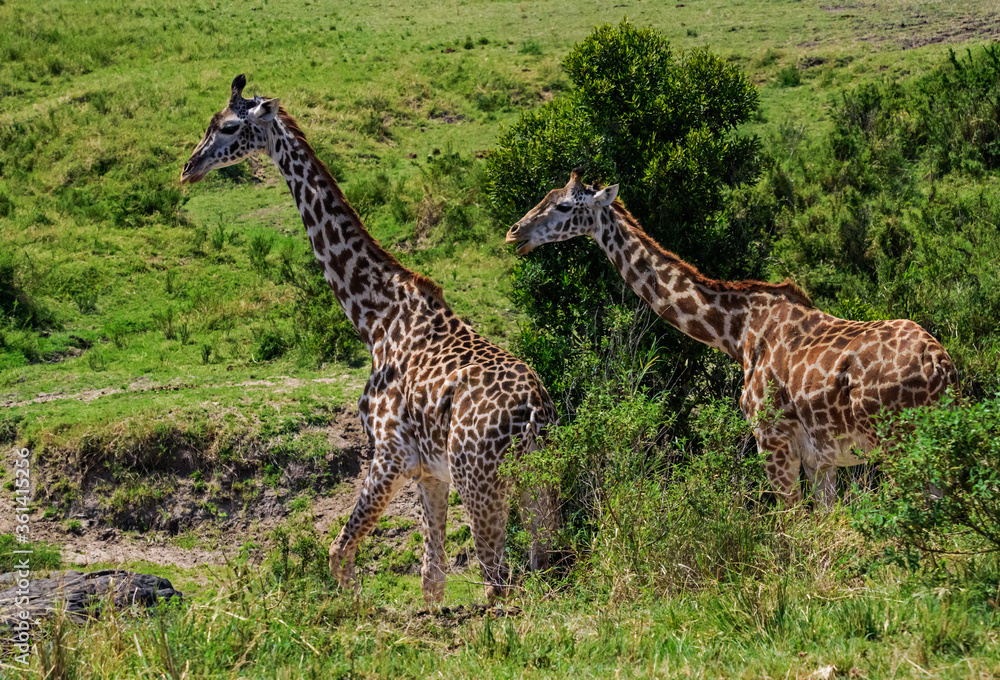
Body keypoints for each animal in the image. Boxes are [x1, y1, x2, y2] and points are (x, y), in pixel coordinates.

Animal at [181, 75, 558, 603]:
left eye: (230, 126)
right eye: (208, 123)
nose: (188, 168)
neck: (374, 318)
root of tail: (534, 417)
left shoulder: (389, 452)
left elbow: (339, 553)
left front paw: (351, 613)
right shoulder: (429, 469)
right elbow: (431, 577)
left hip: (480, 478)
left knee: (498, 580)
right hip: (534, 482)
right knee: (545, 562)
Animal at [506, 169, 957, 508]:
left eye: (565, 205)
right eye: (547, 195)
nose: (514, 233)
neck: (737, 332)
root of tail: (941, 367)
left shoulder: (771, 439)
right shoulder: (821, 457)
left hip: (898, 447)